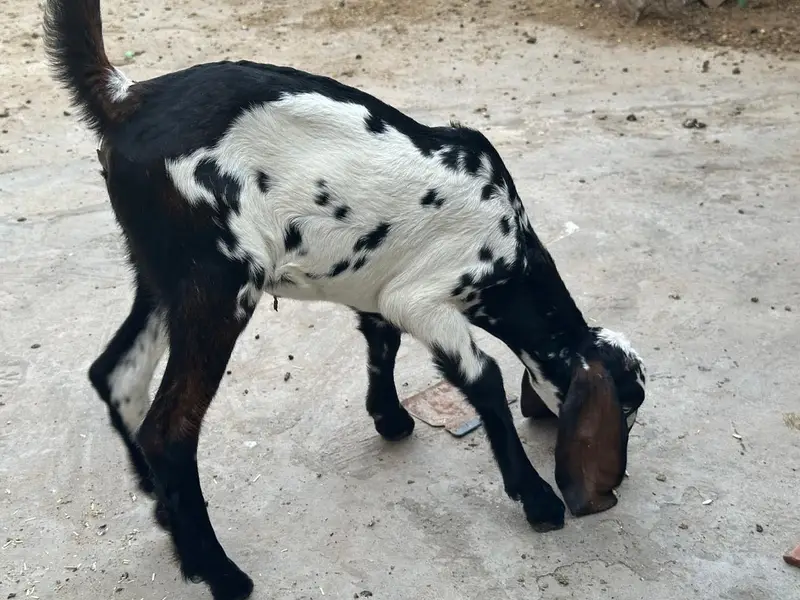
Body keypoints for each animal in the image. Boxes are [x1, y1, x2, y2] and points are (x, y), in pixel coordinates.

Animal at [43, 1, 647, 599]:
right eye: (626, 405)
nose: (619, 475)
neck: (510, 247)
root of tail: (125, 97)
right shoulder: (423, 298)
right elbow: (484, 379)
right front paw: (537, 497)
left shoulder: (379, 288)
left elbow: (382, 344)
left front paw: (390, 418)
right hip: (219, 283)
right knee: (169, 430)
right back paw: (220, 571)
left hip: (162, 276)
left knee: (118, 375)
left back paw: (167, 518)